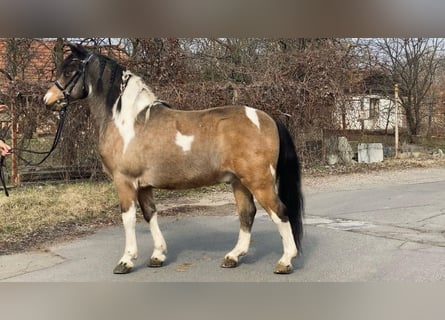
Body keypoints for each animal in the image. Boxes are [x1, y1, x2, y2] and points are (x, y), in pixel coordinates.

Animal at [43, 43, 304, 276]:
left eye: (70, 71)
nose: (48, 100)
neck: (127, 121)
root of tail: (267, 118)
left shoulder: (124, 181)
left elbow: (128, 218)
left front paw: (126, 260)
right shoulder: (143, 185)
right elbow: (150, 214)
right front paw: (158, 256)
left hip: (259, 181)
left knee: (280, 212)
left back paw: (285, 261)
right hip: (239, 182)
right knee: (247, 214)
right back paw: (233, 257)